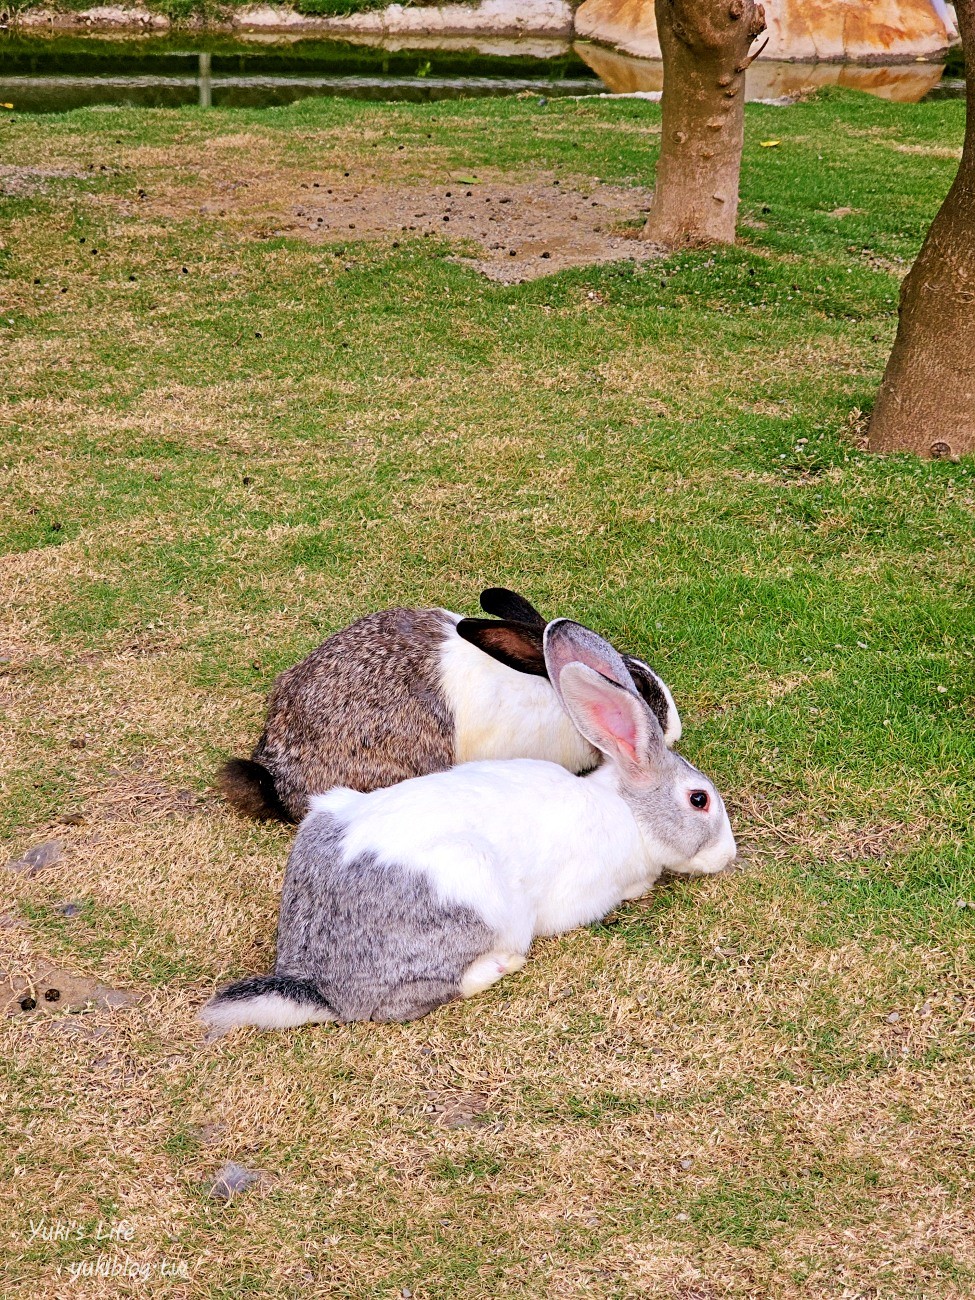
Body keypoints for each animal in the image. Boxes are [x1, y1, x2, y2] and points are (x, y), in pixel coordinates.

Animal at [200, 618, 733, 1034]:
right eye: (699, 800)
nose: (729, 856)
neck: (625, 807)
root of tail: (312, 981)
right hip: (477, 893)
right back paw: (500, 965)